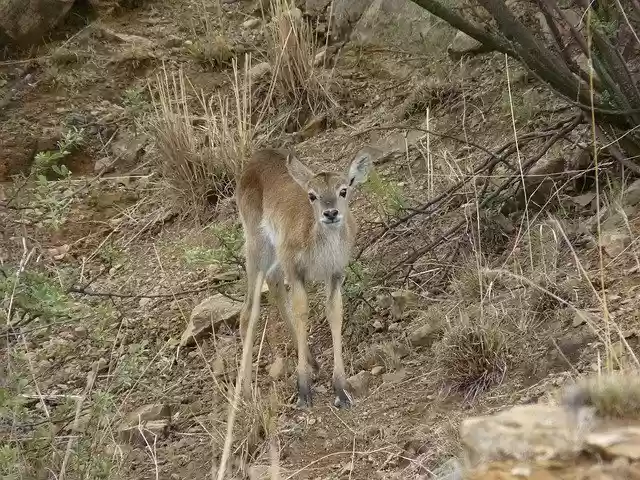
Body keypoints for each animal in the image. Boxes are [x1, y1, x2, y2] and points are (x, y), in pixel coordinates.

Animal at [235, 147, 372, 408]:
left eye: (343, 190)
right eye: (312, 195)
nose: (331, 213)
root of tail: (254, 159)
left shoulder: (335, 273)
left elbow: (334, 312)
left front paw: (341, 390)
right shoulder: (295, 270)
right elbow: (302, 311)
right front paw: (303, 391)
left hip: (274, 258)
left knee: (274, 285)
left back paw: (313, 362)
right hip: (257, 247)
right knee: (248, 311)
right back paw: (246, 393)